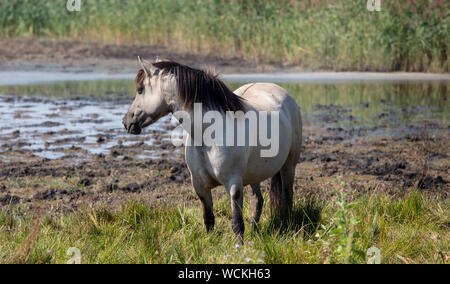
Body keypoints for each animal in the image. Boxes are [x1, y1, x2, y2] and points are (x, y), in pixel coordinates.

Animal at [122, 57, 302, 240]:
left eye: (140, 90)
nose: (126, 122)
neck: (208, 132)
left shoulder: (233, 184)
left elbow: (237, 223)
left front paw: (240, 246)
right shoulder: (200, 185)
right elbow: (208, 219)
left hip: (288, 166)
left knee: (287, 196)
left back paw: (286, 225)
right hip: (254, 174)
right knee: (257, 200)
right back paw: (254, 231)